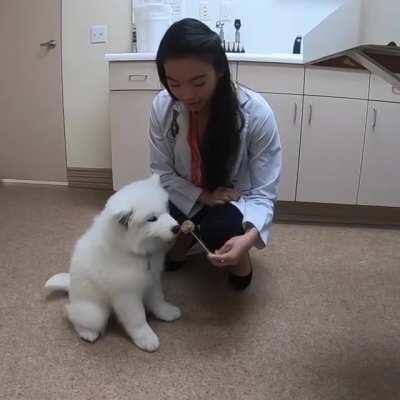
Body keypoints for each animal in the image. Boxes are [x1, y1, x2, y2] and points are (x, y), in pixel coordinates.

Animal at [45, 173, 181, 352]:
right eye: (152, 219)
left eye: (166, 210)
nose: (177, 227)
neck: (134, 252)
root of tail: (70, 287)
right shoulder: (126, 295)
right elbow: (137, 318)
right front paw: (146, 338)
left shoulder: (152, 280)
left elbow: (158, 299)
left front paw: (167, 312)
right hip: (93, 312)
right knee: (74, 315)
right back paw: (87, 333)